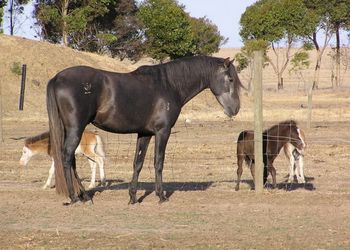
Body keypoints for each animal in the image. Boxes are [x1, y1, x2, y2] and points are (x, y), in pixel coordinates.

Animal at [46, 55, 242, 204]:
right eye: (230, 79)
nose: (235, 109)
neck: (169, 85)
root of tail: (57, 78)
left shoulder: (144, 133)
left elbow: (138, 163)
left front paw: (133, 197)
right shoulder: (163, 132)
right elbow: (158, 162)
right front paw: (161, 196)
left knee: (70, 159)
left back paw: (83, 195)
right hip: (76, 129)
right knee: (67, 157)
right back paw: (76, 197)